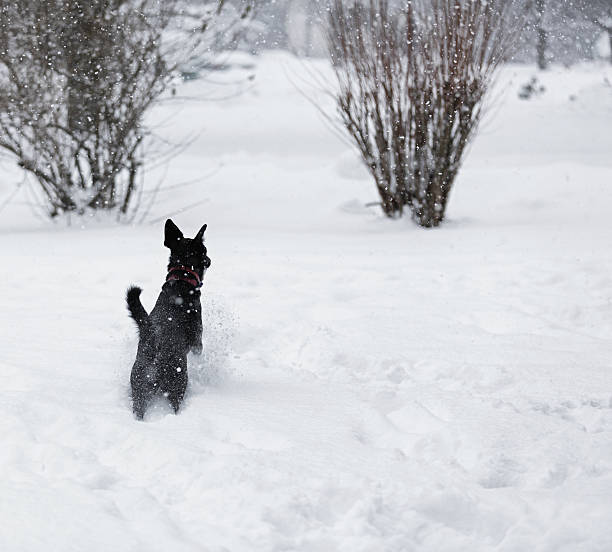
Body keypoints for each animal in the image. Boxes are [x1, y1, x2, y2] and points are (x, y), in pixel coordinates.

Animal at [126, 220, 210, 418]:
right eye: (204, 251)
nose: (210, 260)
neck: (181, 279)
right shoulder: (197, 339)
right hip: (178, 381)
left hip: (138, 386)